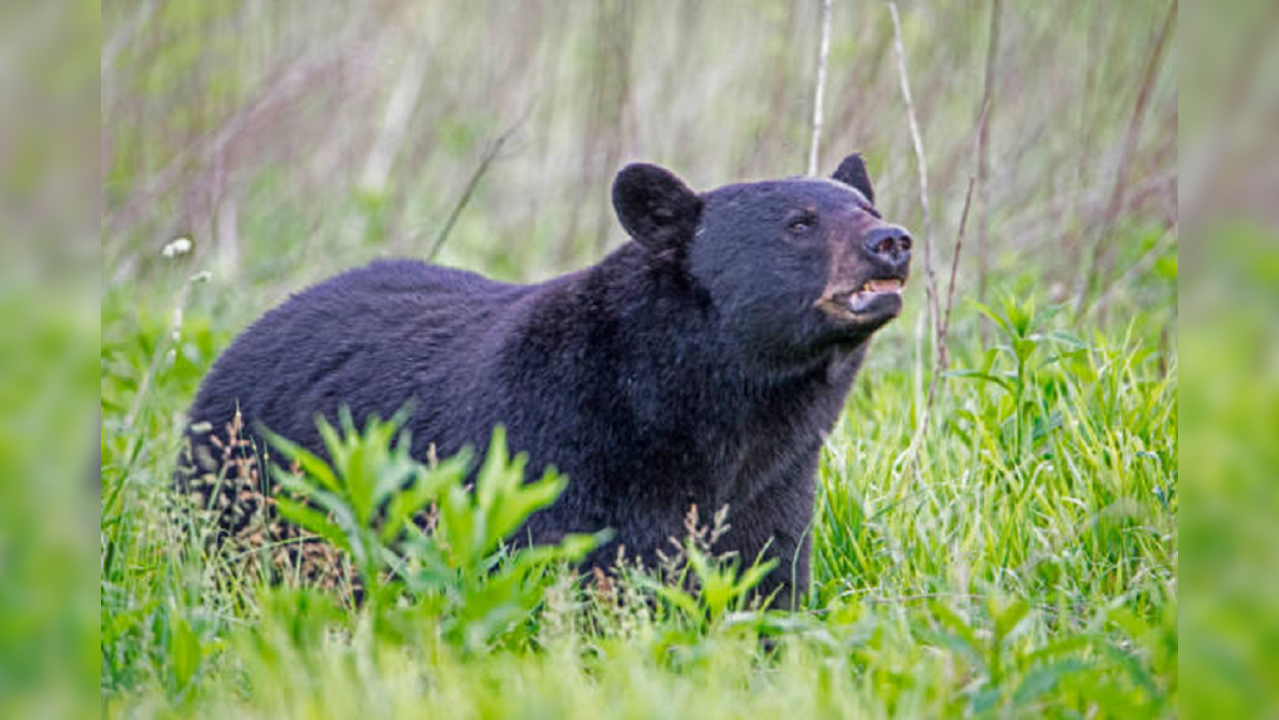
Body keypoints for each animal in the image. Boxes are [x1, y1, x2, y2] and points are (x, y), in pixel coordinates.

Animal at [180, 154, 915, 606]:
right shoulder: (552, 454)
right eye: (799, 224)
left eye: (863, 205)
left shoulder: (775, 482)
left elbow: (764, 576)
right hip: (241, 488)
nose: (892, 241)